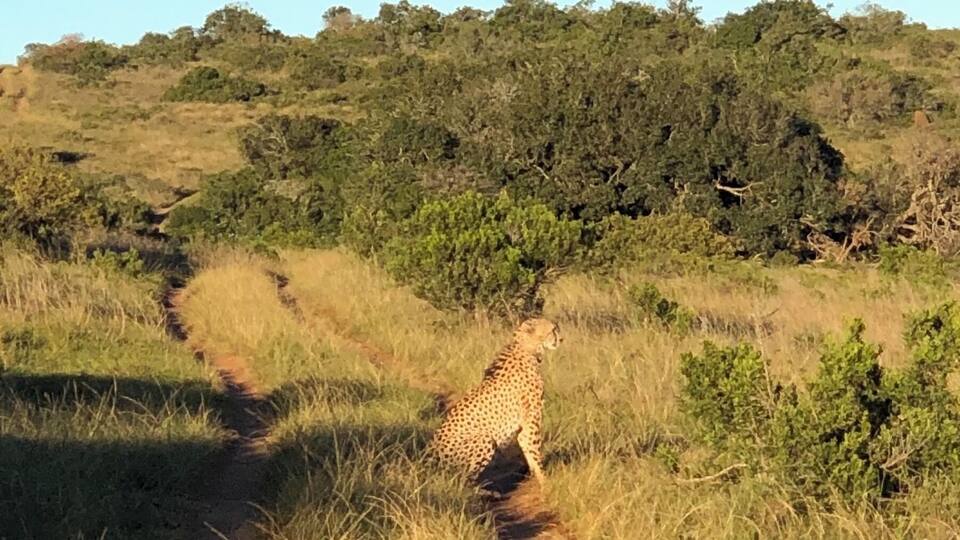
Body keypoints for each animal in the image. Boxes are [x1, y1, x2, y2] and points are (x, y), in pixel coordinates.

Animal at [428, 318, 561, 484]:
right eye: (553, 329)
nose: (561, 339)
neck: (527, 348)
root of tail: (429, 458)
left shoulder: (525, 424)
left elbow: (527, 447)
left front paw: (534, 477)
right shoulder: (532, 419)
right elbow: (534, 450)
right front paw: (545, 481)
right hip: (484, 439)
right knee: (462, 478)